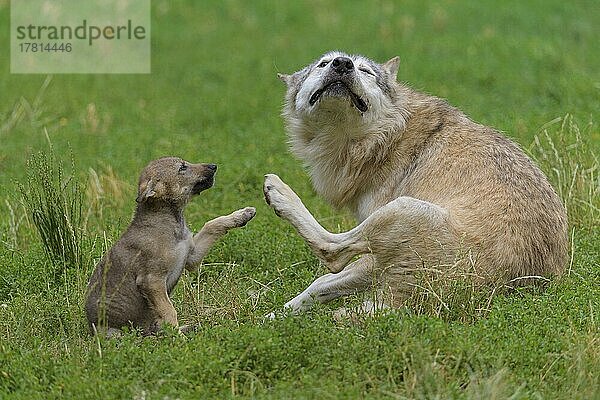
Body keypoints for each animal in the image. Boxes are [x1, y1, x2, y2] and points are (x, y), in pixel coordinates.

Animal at [264, 51, 568, 316]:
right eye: (323, 63)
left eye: (365, 70)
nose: (342, 64)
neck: (380, 138)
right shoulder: (375, 261)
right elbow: (320, 284)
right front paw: (272, 319)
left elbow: (329, 265)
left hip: (402, 209)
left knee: (331, 251)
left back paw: (279, 193)